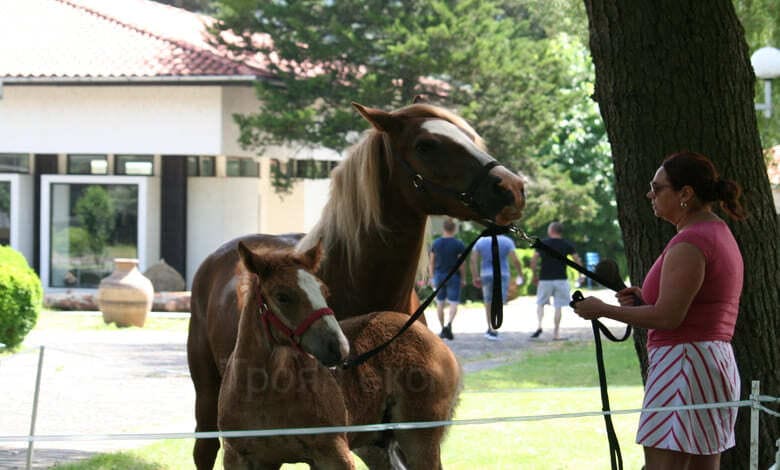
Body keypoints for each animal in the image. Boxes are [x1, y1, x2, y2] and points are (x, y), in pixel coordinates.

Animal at [218, 242, 464, 470]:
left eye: (324, 292)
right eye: (283, 296)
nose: (338, 347)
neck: (263, 393)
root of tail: (436, 343)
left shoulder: (333, 453)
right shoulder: (240, 459)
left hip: (419, 440)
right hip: (375, 446)